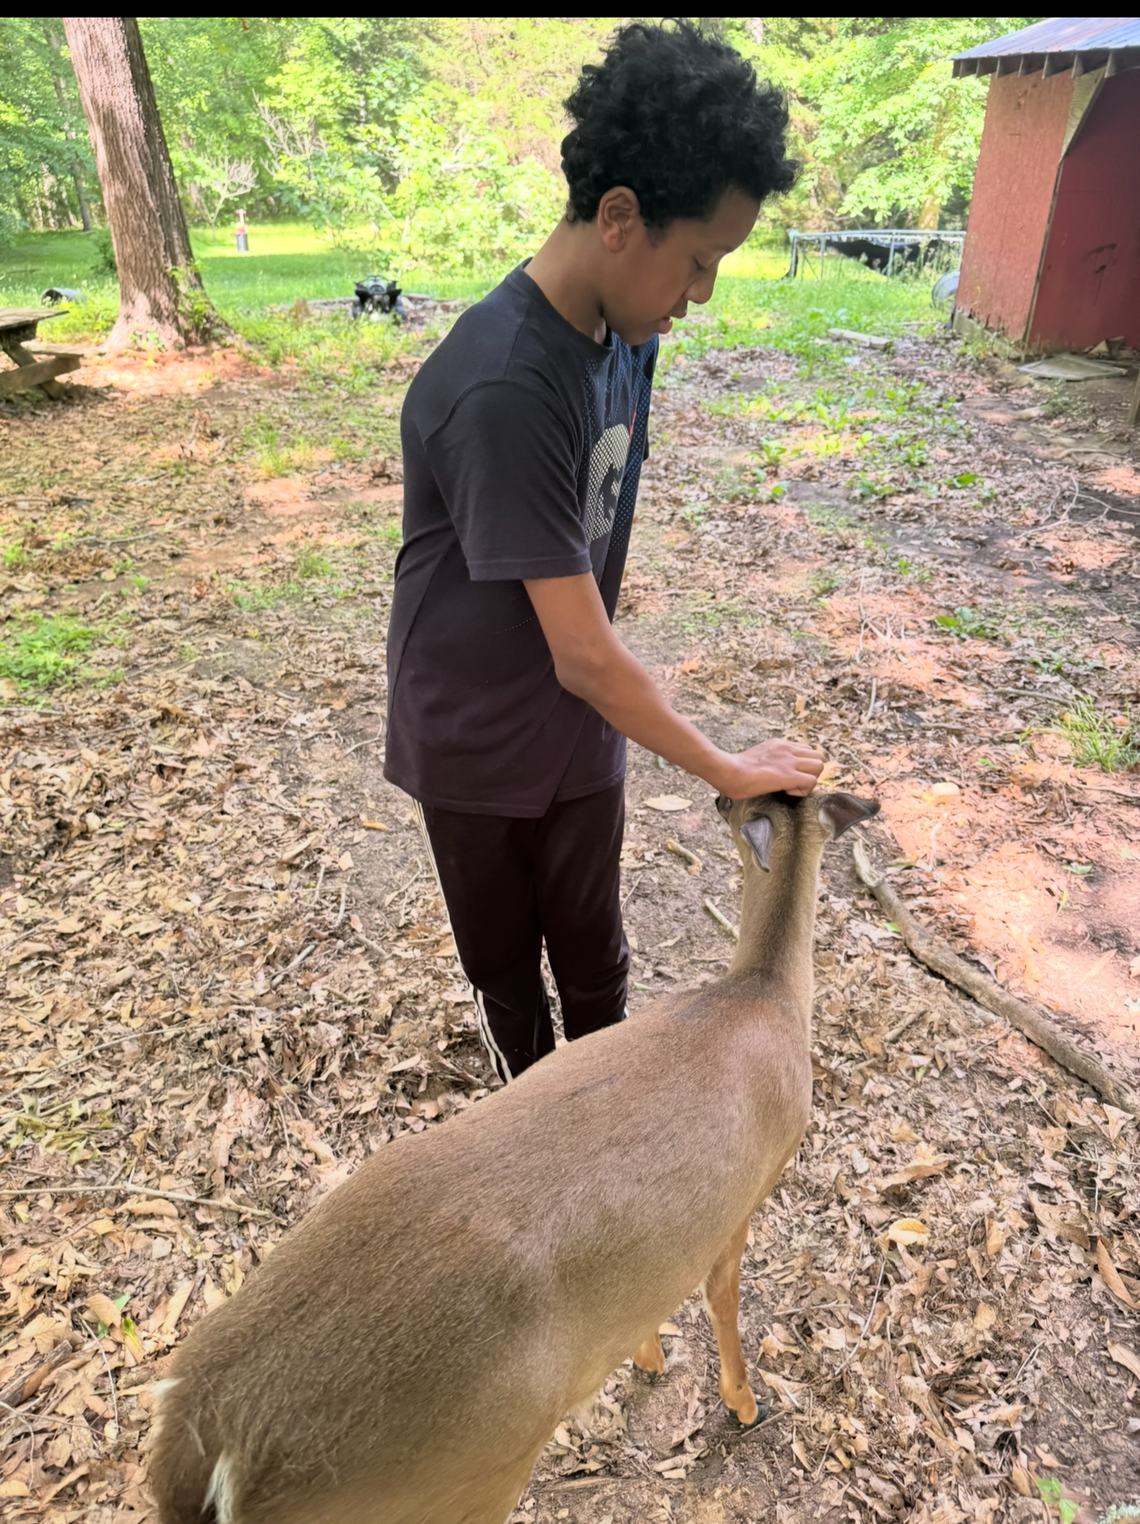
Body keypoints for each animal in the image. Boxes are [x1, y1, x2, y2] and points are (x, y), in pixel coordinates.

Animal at [149, 788, 878, 1524]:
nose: (722, 793)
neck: (763, 992)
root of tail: (213, 1452)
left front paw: (648, 1359)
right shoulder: (749, 1193)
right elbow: (724, 1301)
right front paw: (744, 1402)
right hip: (472, 1471)